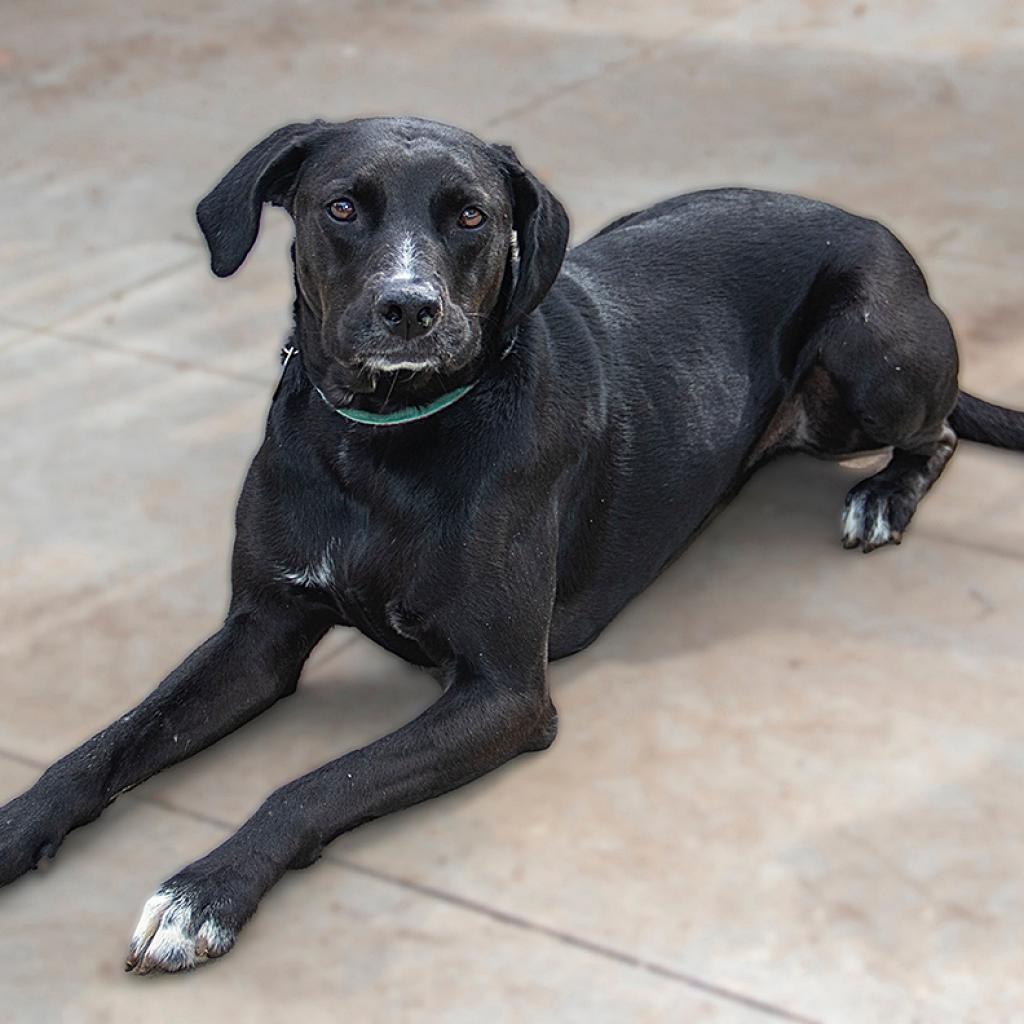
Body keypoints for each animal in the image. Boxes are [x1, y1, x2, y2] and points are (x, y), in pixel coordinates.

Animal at [4, 116, 1019, 970]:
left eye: (470, 215)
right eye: (341, 207)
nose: (408, 308)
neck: (383, 442)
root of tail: (874, 232)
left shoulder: (504, 694)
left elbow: (314, 783)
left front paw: (201, 893)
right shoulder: (261, 632)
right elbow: (104, 746)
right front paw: (17, 827)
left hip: (869, 359)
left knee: (939, 431)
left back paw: (884, 496)